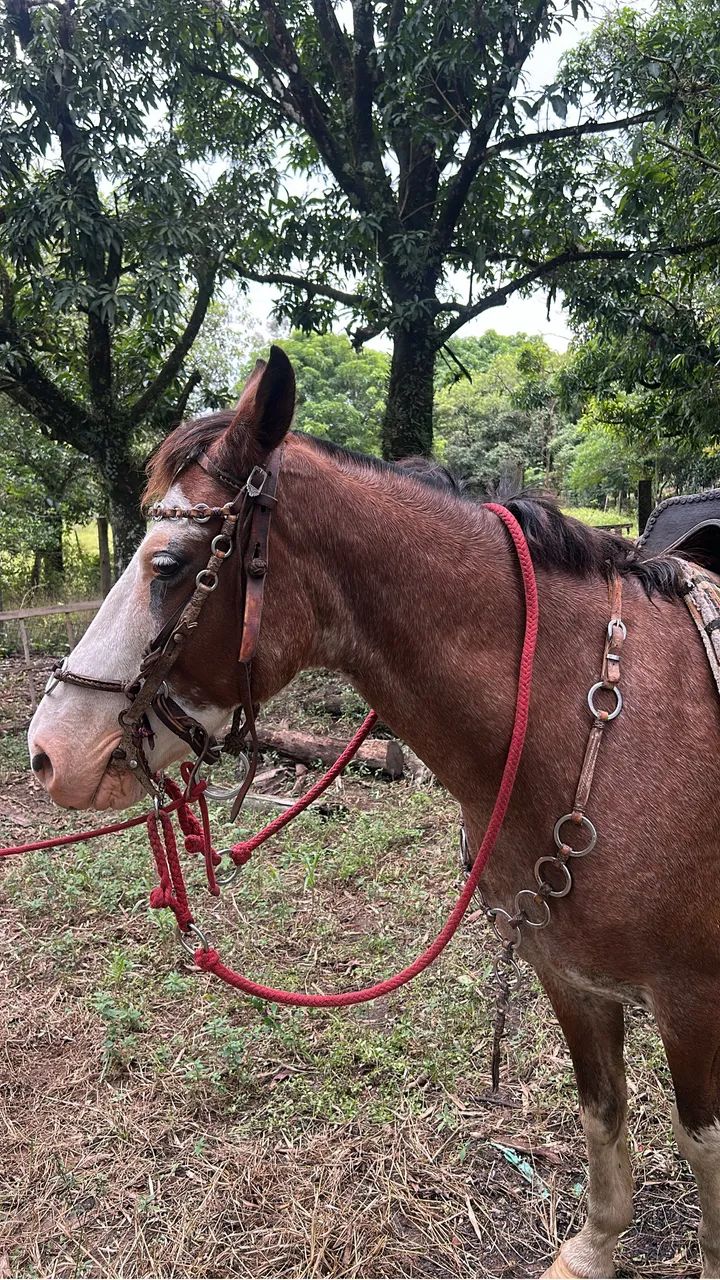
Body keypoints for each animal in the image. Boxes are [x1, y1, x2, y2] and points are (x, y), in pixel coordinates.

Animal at [27, 346, 720, 1279]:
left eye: (169, 566)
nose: (51, 750)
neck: (597, 725)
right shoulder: (568, 976)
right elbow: (602, 1112)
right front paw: (592, 1247)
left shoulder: (693, 998)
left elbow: (701, 1146)